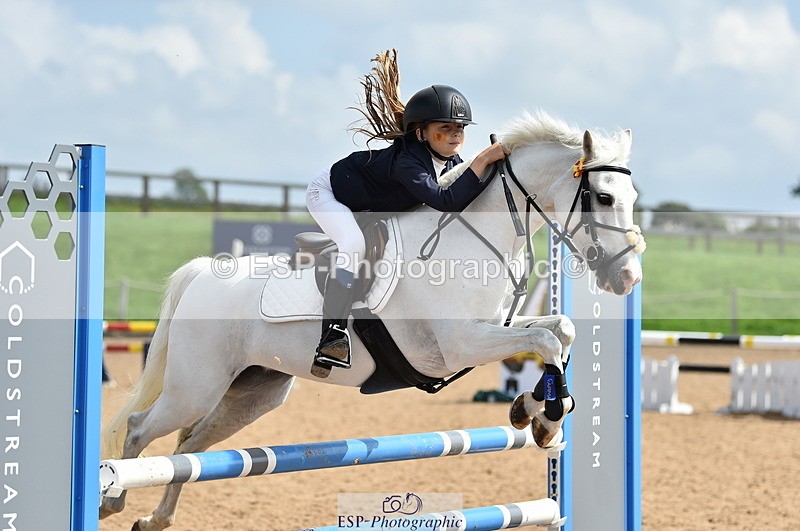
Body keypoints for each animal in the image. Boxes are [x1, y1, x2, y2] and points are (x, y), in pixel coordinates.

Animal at [100, 111, 644, 530]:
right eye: (604, 198)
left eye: (633, 198)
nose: (628, 278)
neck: (473, 236)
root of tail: (203, 273)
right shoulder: (461, 344)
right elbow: (548, 343)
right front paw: (545, 418)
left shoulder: (493, 331)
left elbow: (560, 332)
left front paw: (534, 412)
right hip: (196, 386)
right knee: (141, 428)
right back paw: (112, 499)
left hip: (251, 393)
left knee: (189, 448)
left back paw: (156, 519)